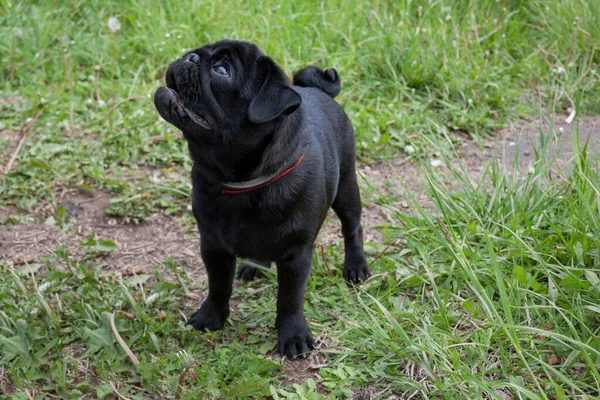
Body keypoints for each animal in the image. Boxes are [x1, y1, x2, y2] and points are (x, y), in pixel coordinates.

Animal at [154, 41, 370, 360]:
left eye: (222, 70)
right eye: (198, 50)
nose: (189, 57)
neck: (240, 185)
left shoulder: (296, 256)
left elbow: (290, 299)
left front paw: (293, 335)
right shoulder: (213, 246)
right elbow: (218, 286)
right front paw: (211, 317)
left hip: (346, 190)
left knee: (352, 228)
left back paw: (356, 266)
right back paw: (255, 264)